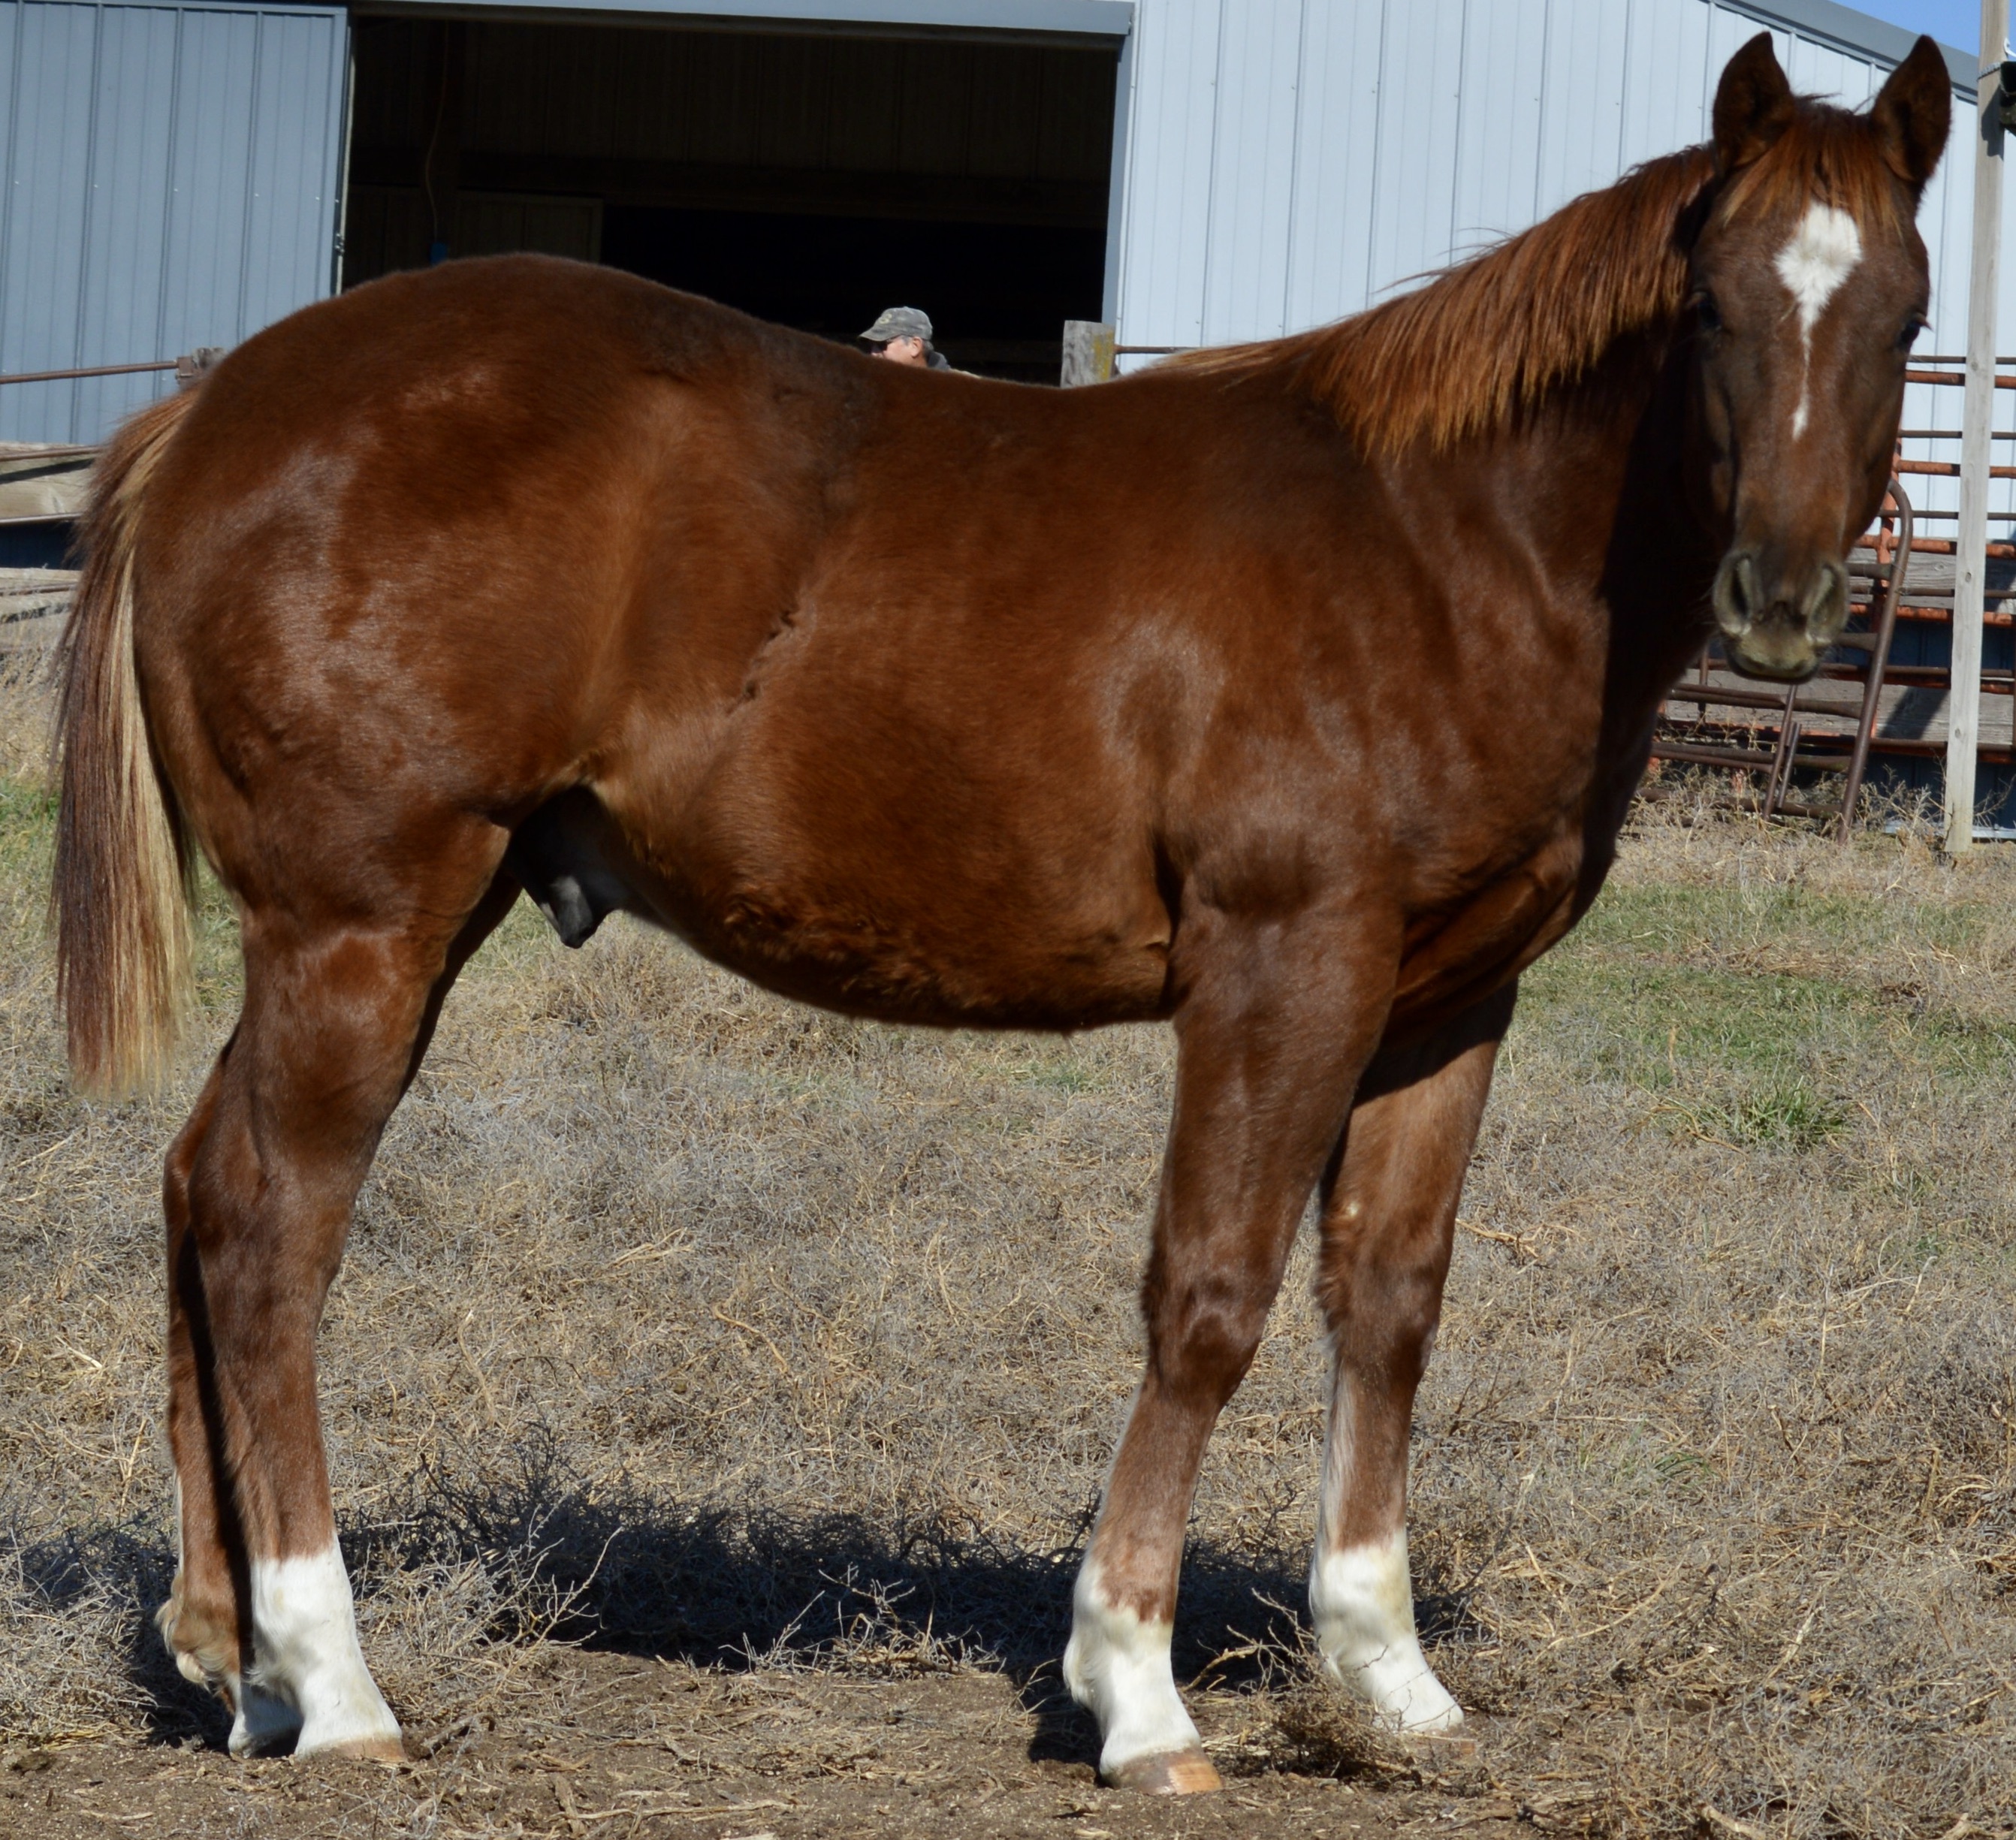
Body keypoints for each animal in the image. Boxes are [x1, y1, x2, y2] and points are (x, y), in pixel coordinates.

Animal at [51, 32, 1949, 1792]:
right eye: (1707, 302)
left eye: (1907, 307)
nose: (1782, 594)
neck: (1433, 547)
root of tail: (214, 409)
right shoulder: (1284, 967)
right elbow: (1211, 1295)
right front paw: (1134, 1690)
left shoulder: (1445, 1002)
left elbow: (1389, 1300)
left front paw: (1386, 1673)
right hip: (364, 920)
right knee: (272, 1227)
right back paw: (334, 1681)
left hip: (378, 930)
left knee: (201, 1186)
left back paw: (230, 1656)